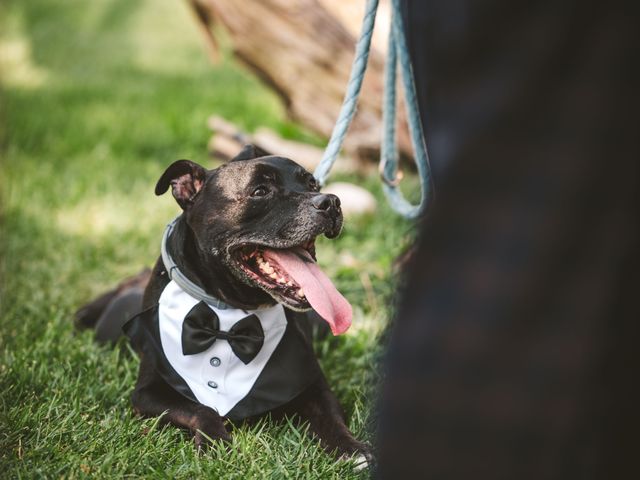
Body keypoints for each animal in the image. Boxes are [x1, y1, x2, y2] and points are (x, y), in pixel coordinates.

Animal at [76, 145, 370, 464]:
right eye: (260, 191)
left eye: (313, 184)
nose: (330, 201)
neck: (229, 311)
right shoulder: (147, 392)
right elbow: (201, 408)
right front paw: (215, 441)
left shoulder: (312, 382)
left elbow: (330, 417)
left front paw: (351, 448)